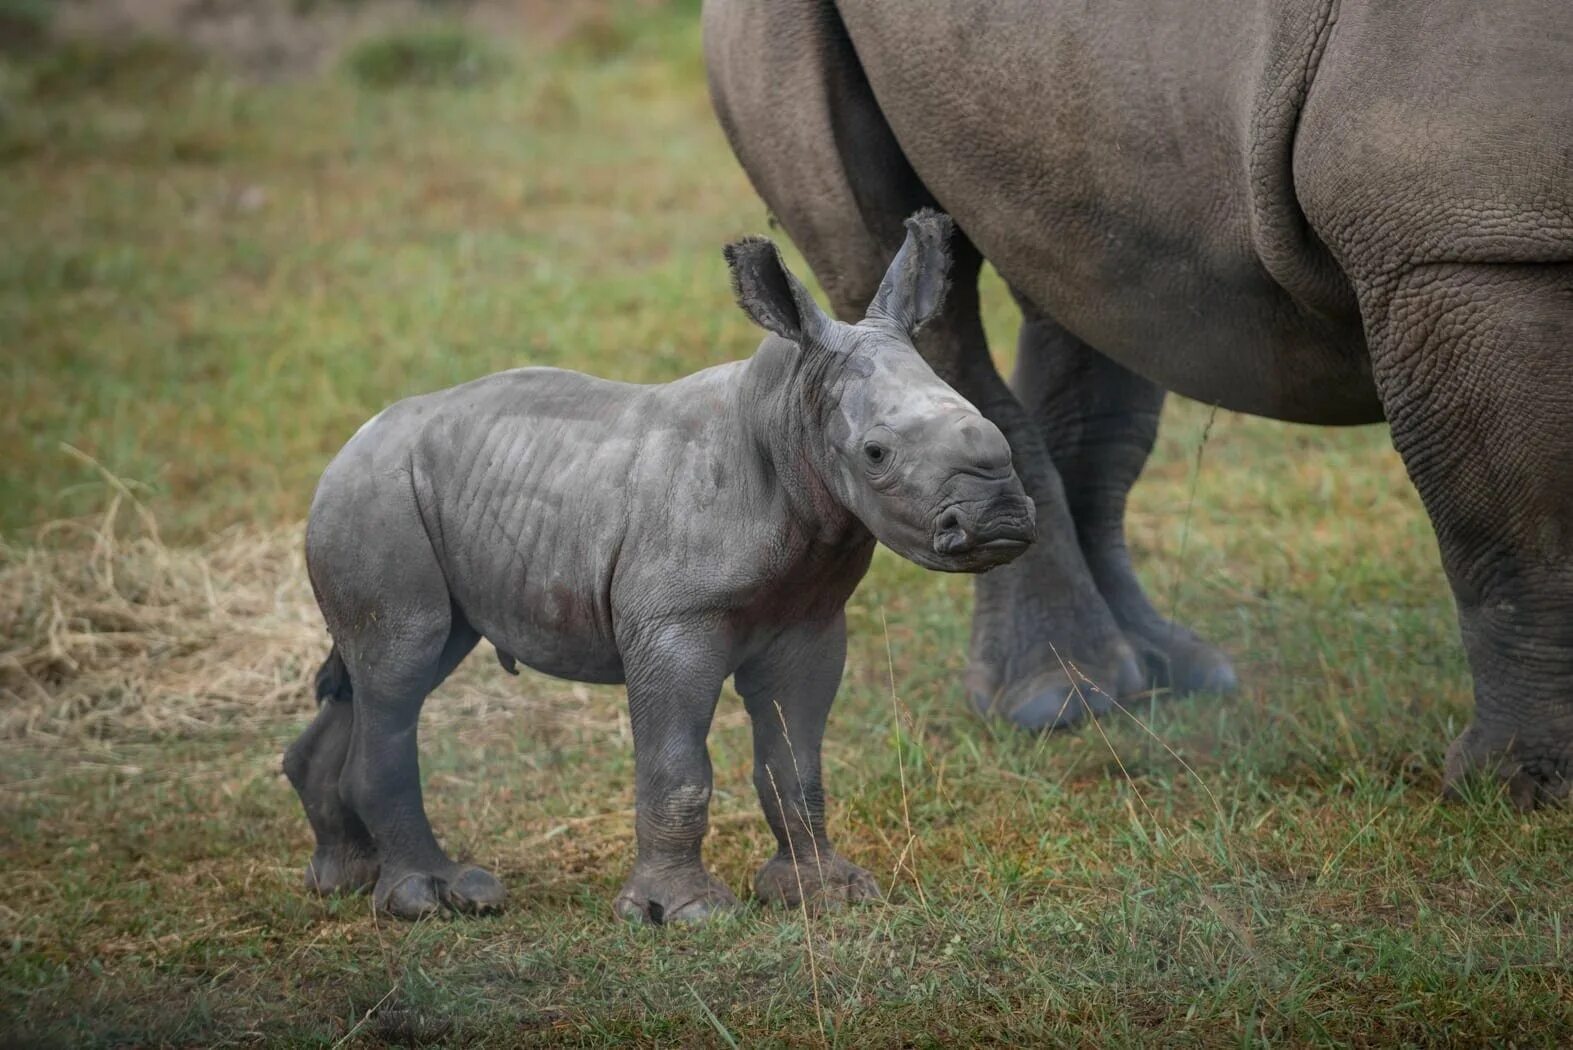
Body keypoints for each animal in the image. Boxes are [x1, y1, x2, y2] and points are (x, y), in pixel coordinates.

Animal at [291, 210, 1038, 917]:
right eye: (876, 455)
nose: (998, 518)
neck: (786, 414)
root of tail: (348, 447)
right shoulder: (674, 620)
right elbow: (678, 766)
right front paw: (682, 912)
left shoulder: (811, 622)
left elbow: (797, 763)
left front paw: (826, 892)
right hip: (377, 496)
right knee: (403, 661)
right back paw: (436, 898)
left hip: (406, 495)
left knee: (394, 670)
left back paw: (346, 882)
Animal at [704, 0, 1573, 811]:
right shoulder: (1462, 239)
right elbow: (1520, 535)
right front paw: (1521, 793)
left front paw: (1520, 791)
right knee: (883, 259)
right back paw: (1061, 706)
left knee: (1091, 269)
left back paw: (1167, 680)